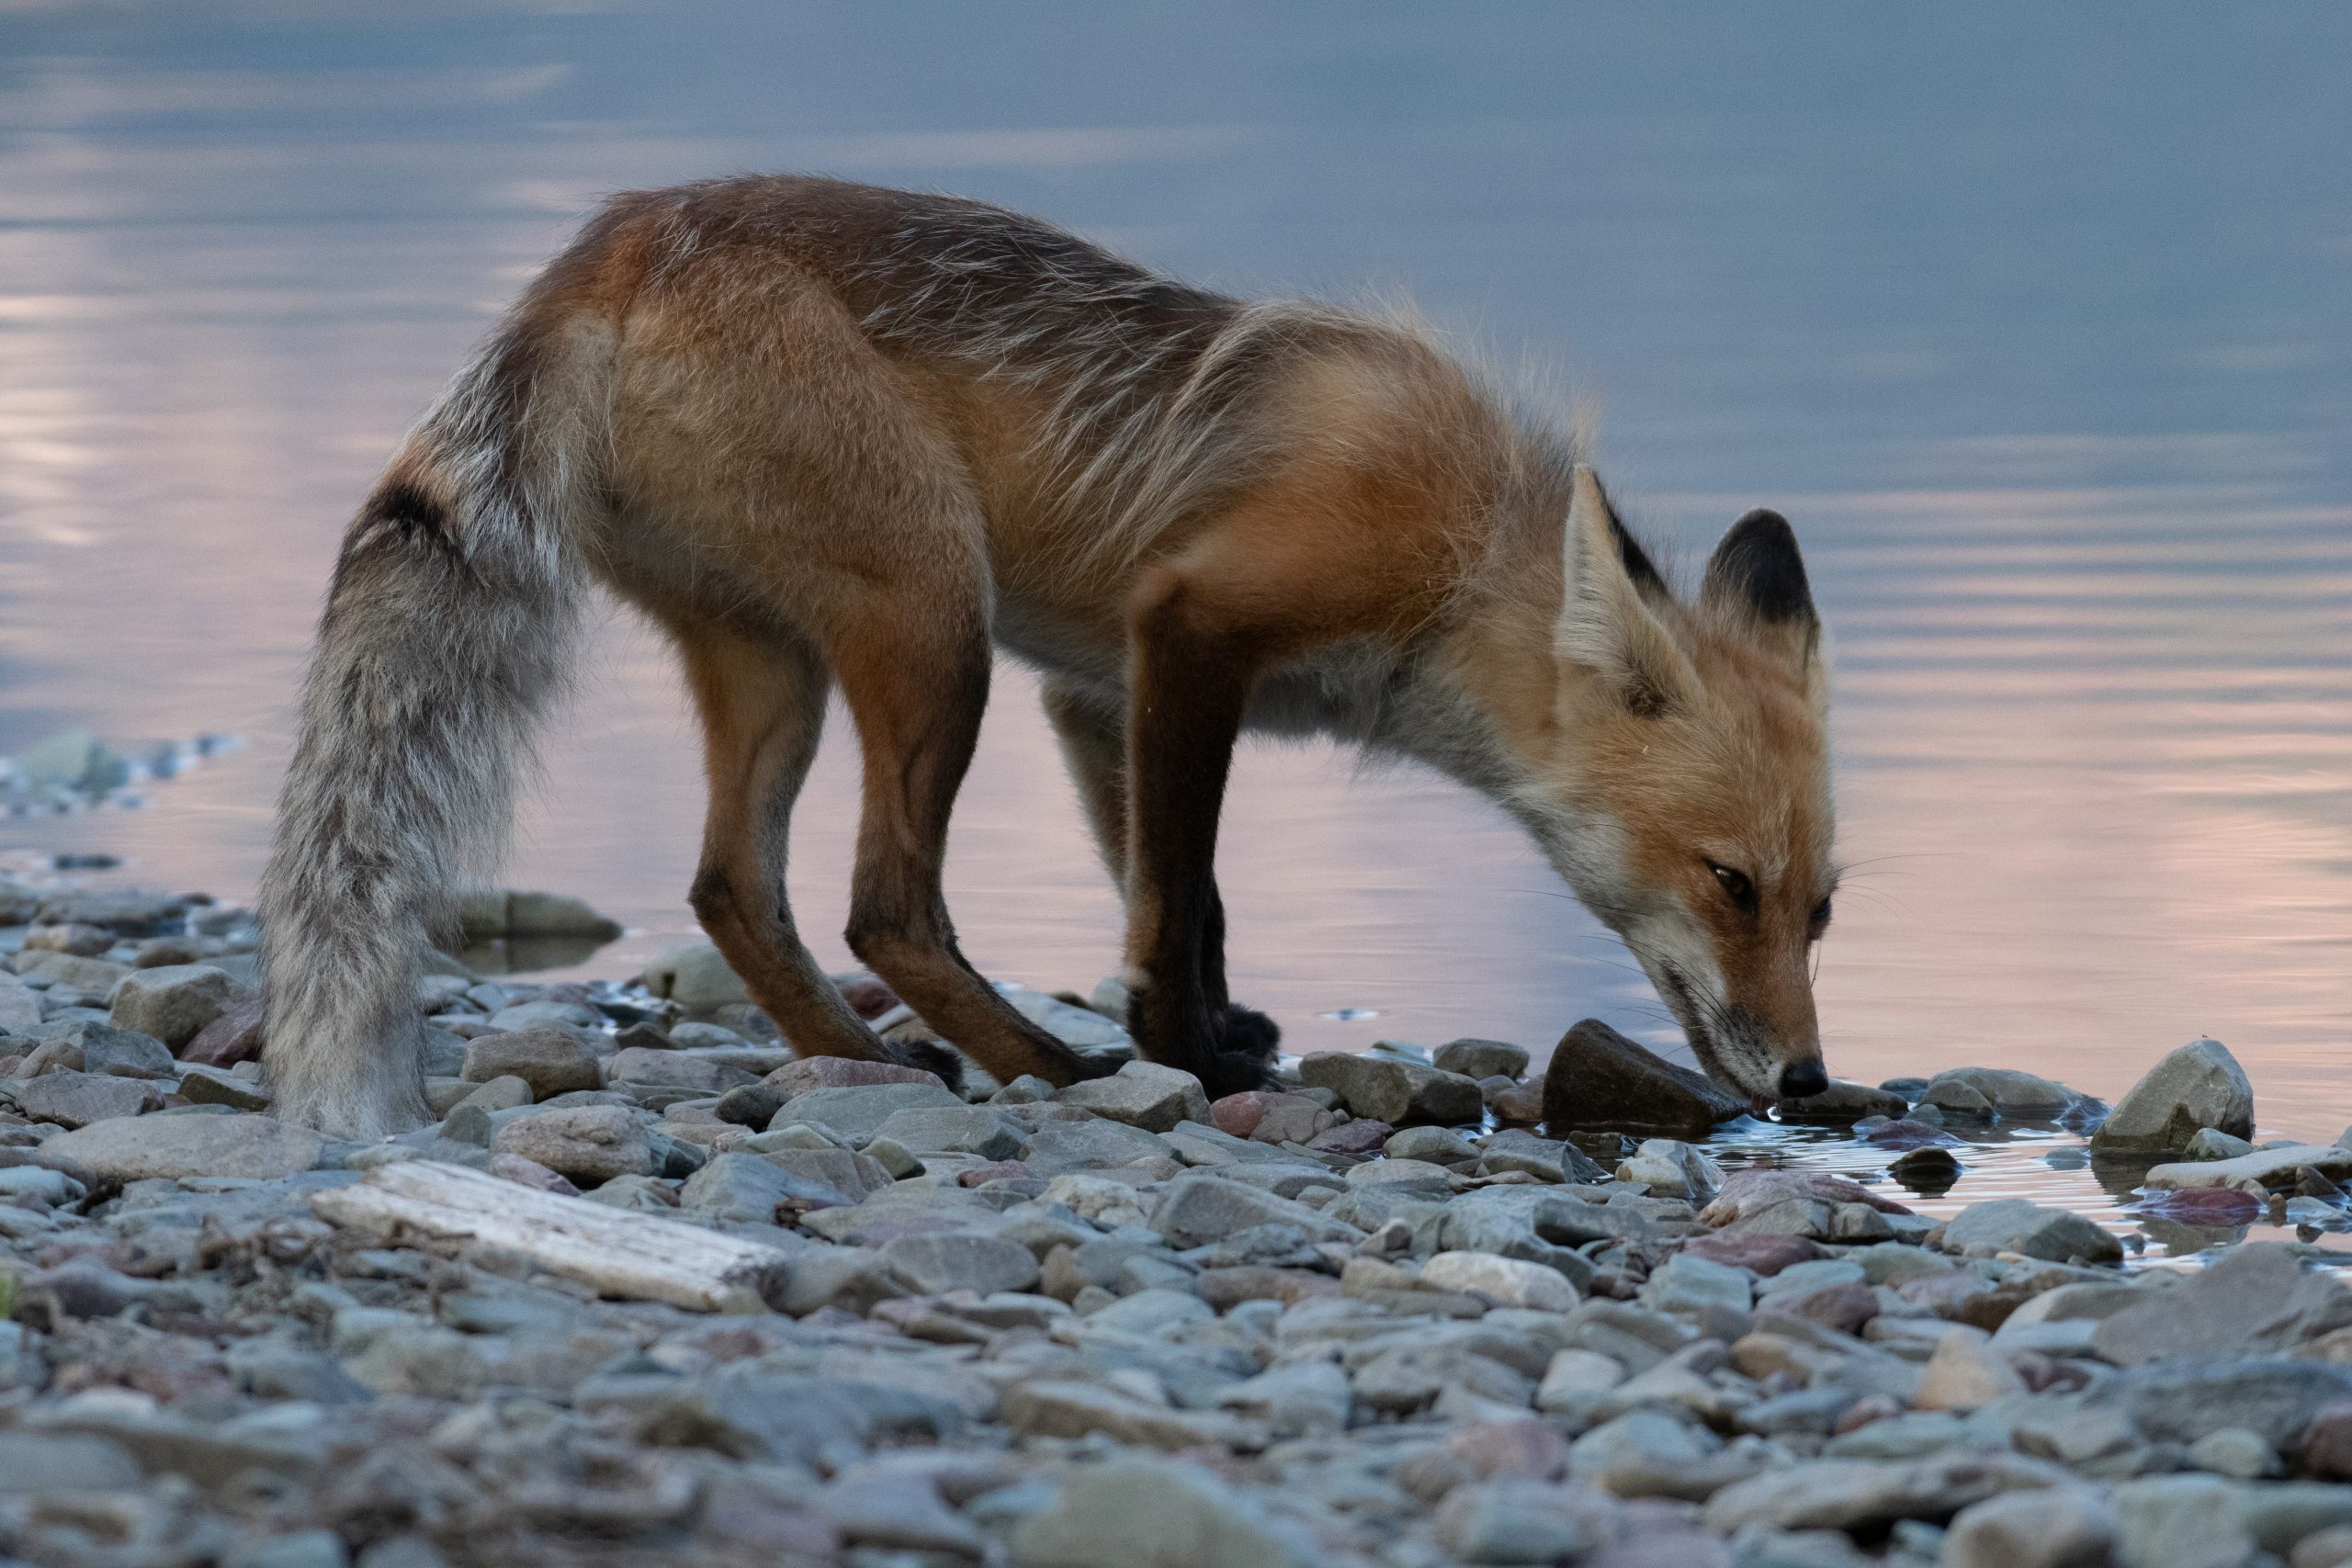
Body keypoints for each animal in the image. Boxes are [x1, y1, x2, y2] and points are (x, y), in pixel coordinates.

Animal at [258, 174, 1838, 1140]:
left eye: (1821, 907)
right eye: (1731, 883)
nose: (1814, 1080)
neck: (1467, 559)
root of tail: (617, 235)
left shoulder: (1101, 689)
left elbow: (1181, 893)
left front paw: (1214, 1030)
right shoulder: (1190, 623)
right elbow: (1180, 890)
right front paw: (1183, 1047)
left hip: (776, 660)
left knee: (730, 886)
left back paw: (861, 1056)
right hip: (932, 623)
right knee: (885, 907)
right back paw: (1041, 1063)